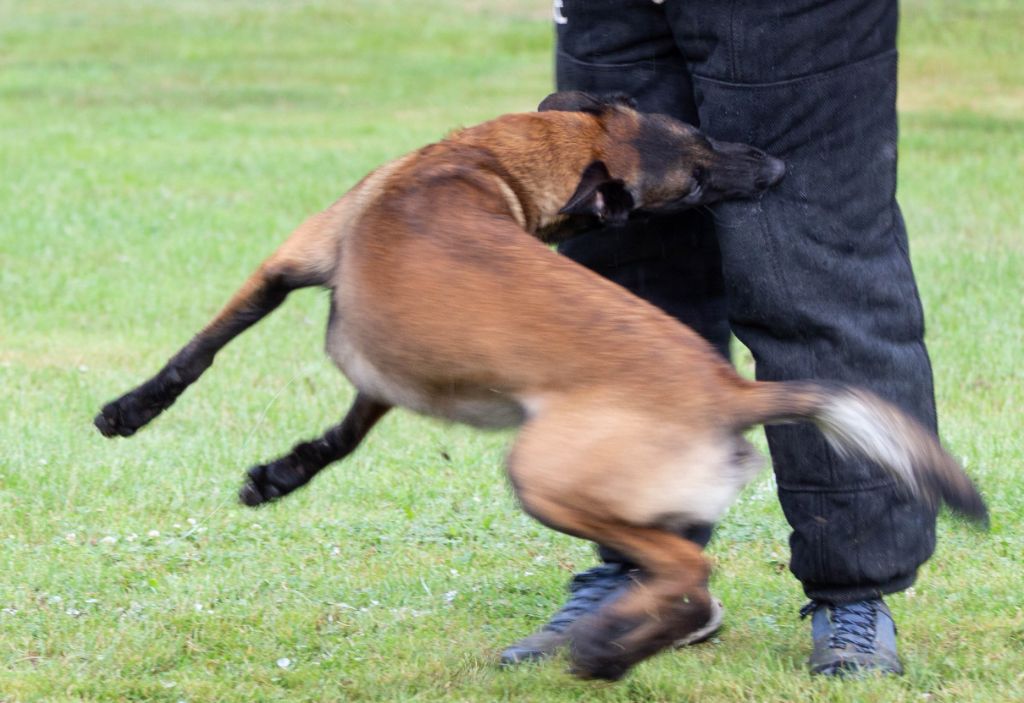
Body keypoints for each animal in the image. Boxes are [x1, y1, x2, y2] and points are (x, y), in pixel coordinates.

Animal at [94, 91, 987, 680]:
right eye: (696, 160)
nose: (775, 165)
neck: (489, 162)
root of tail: (729, 389)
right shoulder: (390, 366)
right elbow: (340, 437)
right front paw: (280, 475)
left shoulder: (288, 261)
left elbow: (199, 350)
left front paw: (128, 411)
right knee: (679, 585)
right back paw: (612, 647)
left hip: (546, 474)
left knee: (691, 574)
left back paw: (602, 649)